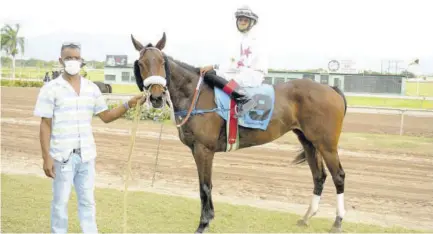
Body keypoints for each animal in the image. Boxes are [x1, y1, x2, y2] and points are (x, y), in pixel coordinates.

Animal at [130, 32, 346, 233]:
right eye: (141, 63)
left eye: (161, 61)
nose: (157, 97)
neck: (195, 95)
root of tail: (331, 88)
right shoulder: (196, 150)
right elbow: (205, 185)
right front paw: (209, 217)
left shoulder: (203, 150)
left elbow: (205, 186)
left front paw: (203, 223)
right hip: (308, 141)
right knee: (319, 176)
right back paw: (307, 217)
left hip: (326, 145)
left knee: (338, 176)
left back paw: (337, 222)